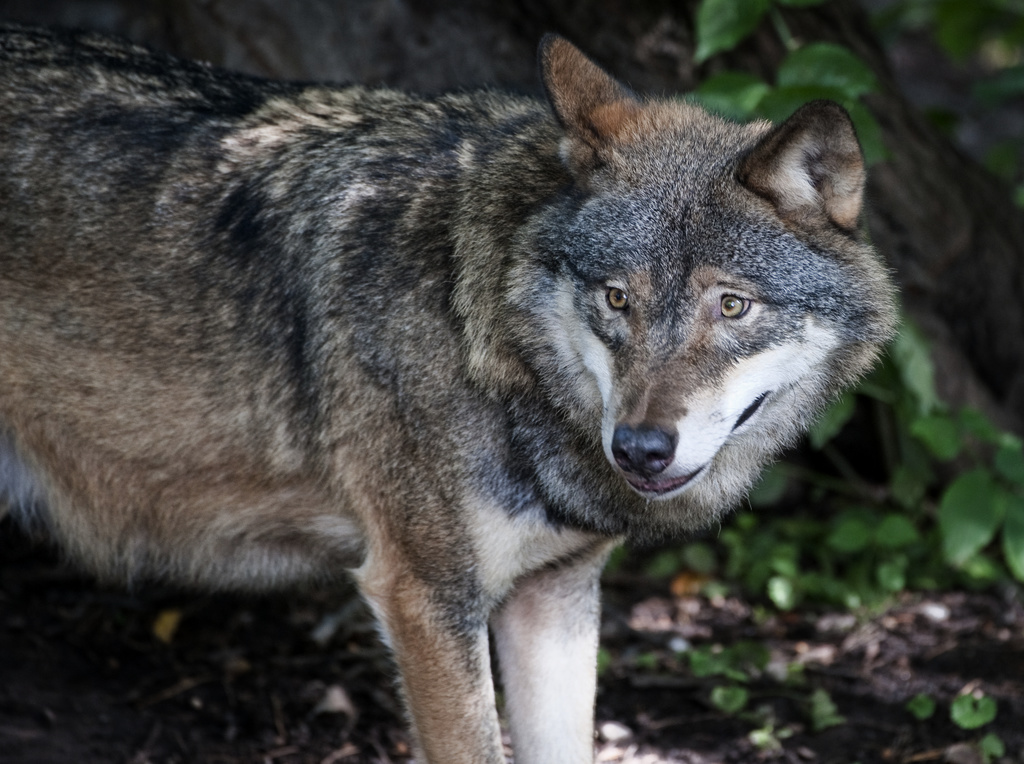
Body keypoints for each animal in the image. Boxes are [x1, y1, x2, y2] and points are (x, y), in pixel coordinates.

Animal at [0, 23, 897, 761]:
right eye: (616, 299)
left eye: (732, 306)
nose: (640, 449)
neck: (480, 327)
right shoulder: (425, 600)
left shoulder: (554, 596)